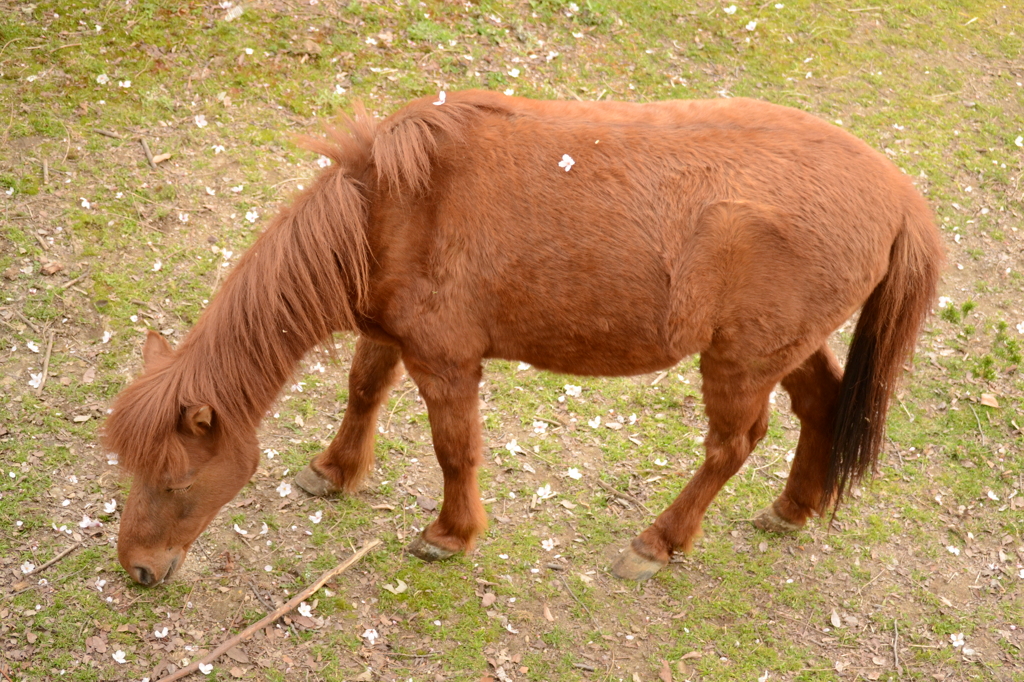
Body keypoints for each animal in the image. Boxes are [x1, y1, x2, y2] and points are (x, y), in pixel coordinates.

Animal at [105, 87, 942, 581]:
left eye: (174, 482)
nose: (140, 569)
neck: (395, 210)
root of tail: (899, 195)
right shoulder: (389, 333)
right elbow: (363, 390)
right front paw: (334, 471)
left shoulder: (445, 363)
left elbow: (454, 450)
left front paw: (450, 534)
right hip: (776, 349)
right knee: (820, 407)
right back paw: (792, 509)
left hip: (739, 363)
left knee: (730, 447)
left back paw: (658, 543)